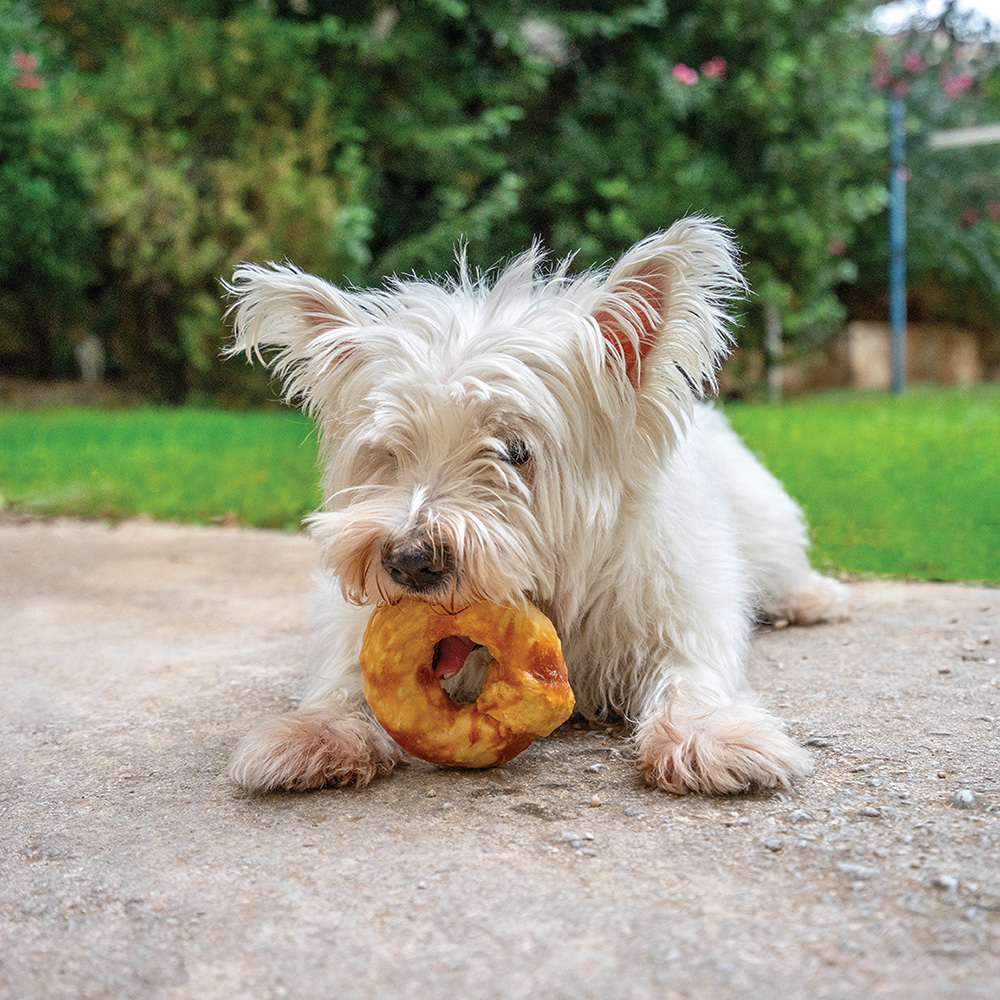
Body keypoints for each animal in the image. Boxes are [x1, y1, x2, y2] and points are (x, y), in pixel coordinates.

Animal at [221, 217, 844, 796]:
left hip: (763, 519)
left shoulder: (682, 609)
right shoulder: (355, 618)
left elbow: (693, 673)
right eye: (389, 453)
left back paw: (812, 599)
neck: (562, 603)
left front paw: (711, 734)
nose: (408, 562)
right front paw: (317, 730)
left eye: (514, 451)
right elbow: (344, 671)